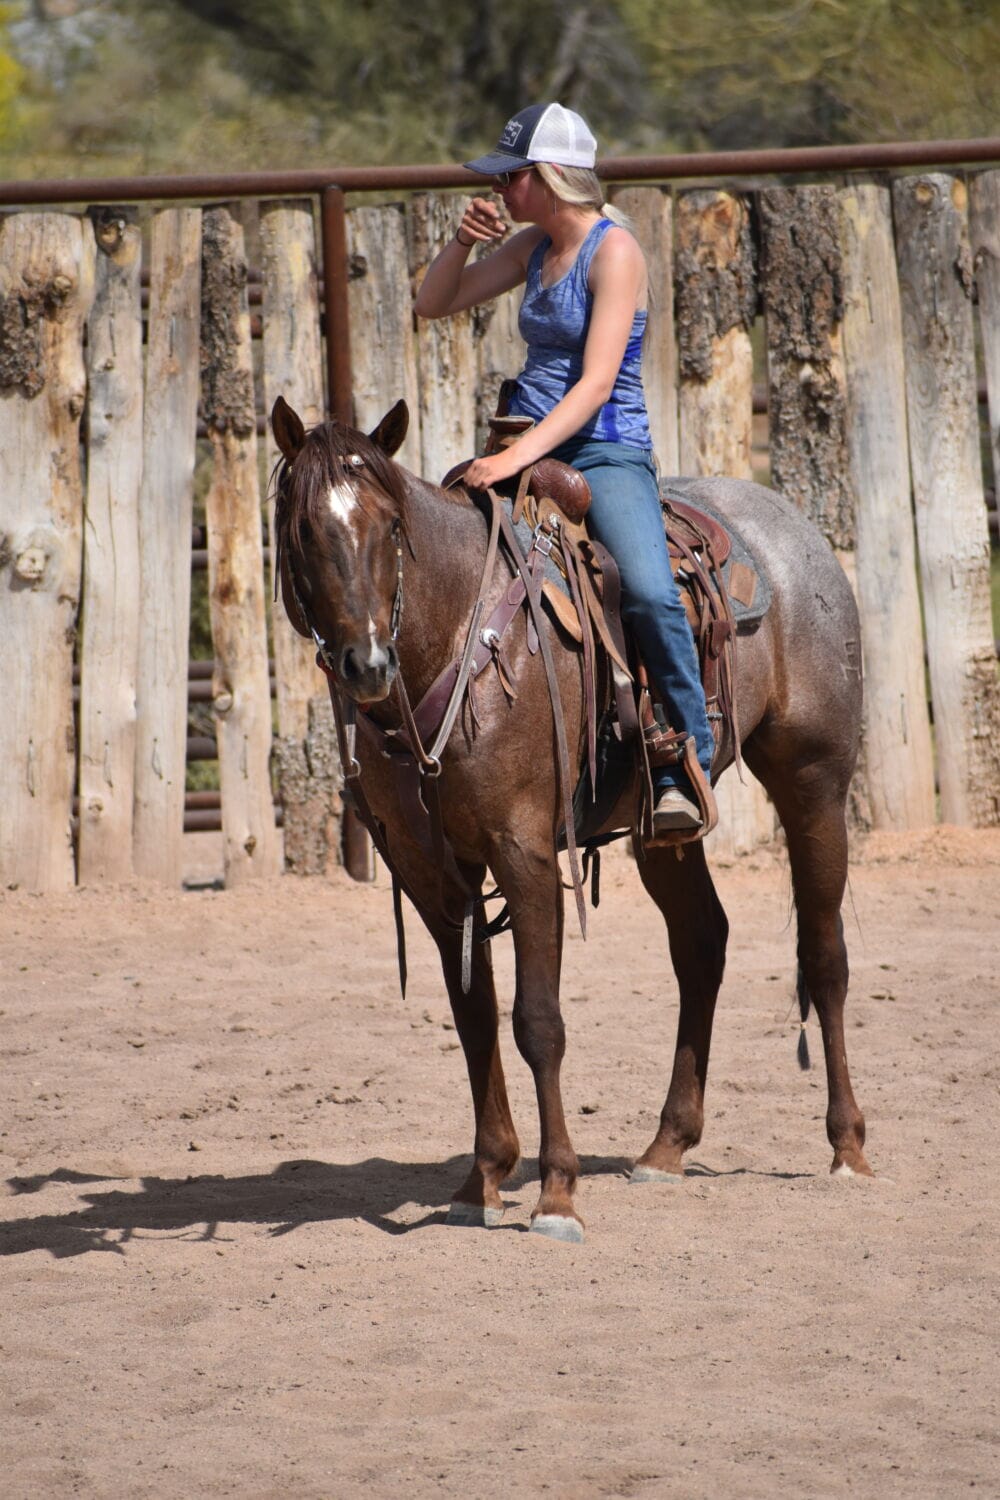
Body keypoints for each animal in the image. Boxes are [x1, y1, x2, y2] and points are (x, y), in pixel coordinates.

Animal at [271, 394, 872, 1244]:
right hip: (664, 829)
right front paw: (483, 1177)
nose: (367, 665)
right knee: (702, 945)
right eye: (301, 530)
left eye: (389, 526)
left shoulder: (522, 851)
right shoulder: (430, 873)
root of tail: (799, 534)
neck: (456, 637)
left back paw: (847, 1146)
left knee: (824, 956)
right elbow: (475, 1016)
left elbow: (537, 1019)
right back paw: (667, 1145)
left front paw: (557, 1191)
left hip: (813, 782)